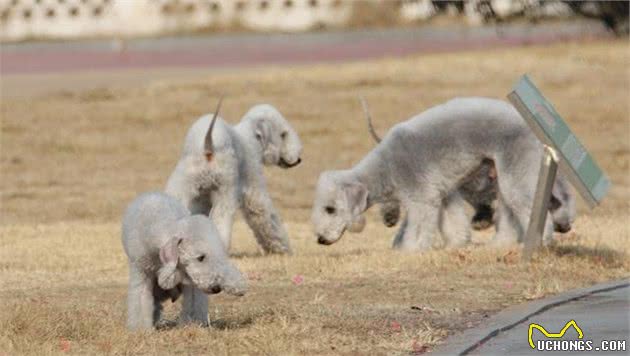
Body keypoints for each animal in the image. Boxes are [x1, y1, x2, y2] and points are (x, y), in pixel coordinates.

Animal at [122, 192, 248, 330]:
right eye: (200, 257)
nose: (216, 288)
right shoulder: (141, 270)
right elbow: (140, 300)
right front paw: (141, 329)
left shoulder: (191, 279)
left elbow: (193, 302)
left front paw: (193, 324)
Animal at [312, 97, 576, 250]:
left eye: (330, 209)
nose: (321, 240)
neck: (385, 168)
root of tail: (532, 119)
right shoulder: (441, 192)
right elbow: (452, 219)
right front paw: (456, 243)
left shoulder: (420, 195)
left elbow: (419, 225)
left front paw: (410, 250)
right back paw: (500, 245)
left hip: (515, 166)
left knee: (525, 204)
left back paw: (539, 241)